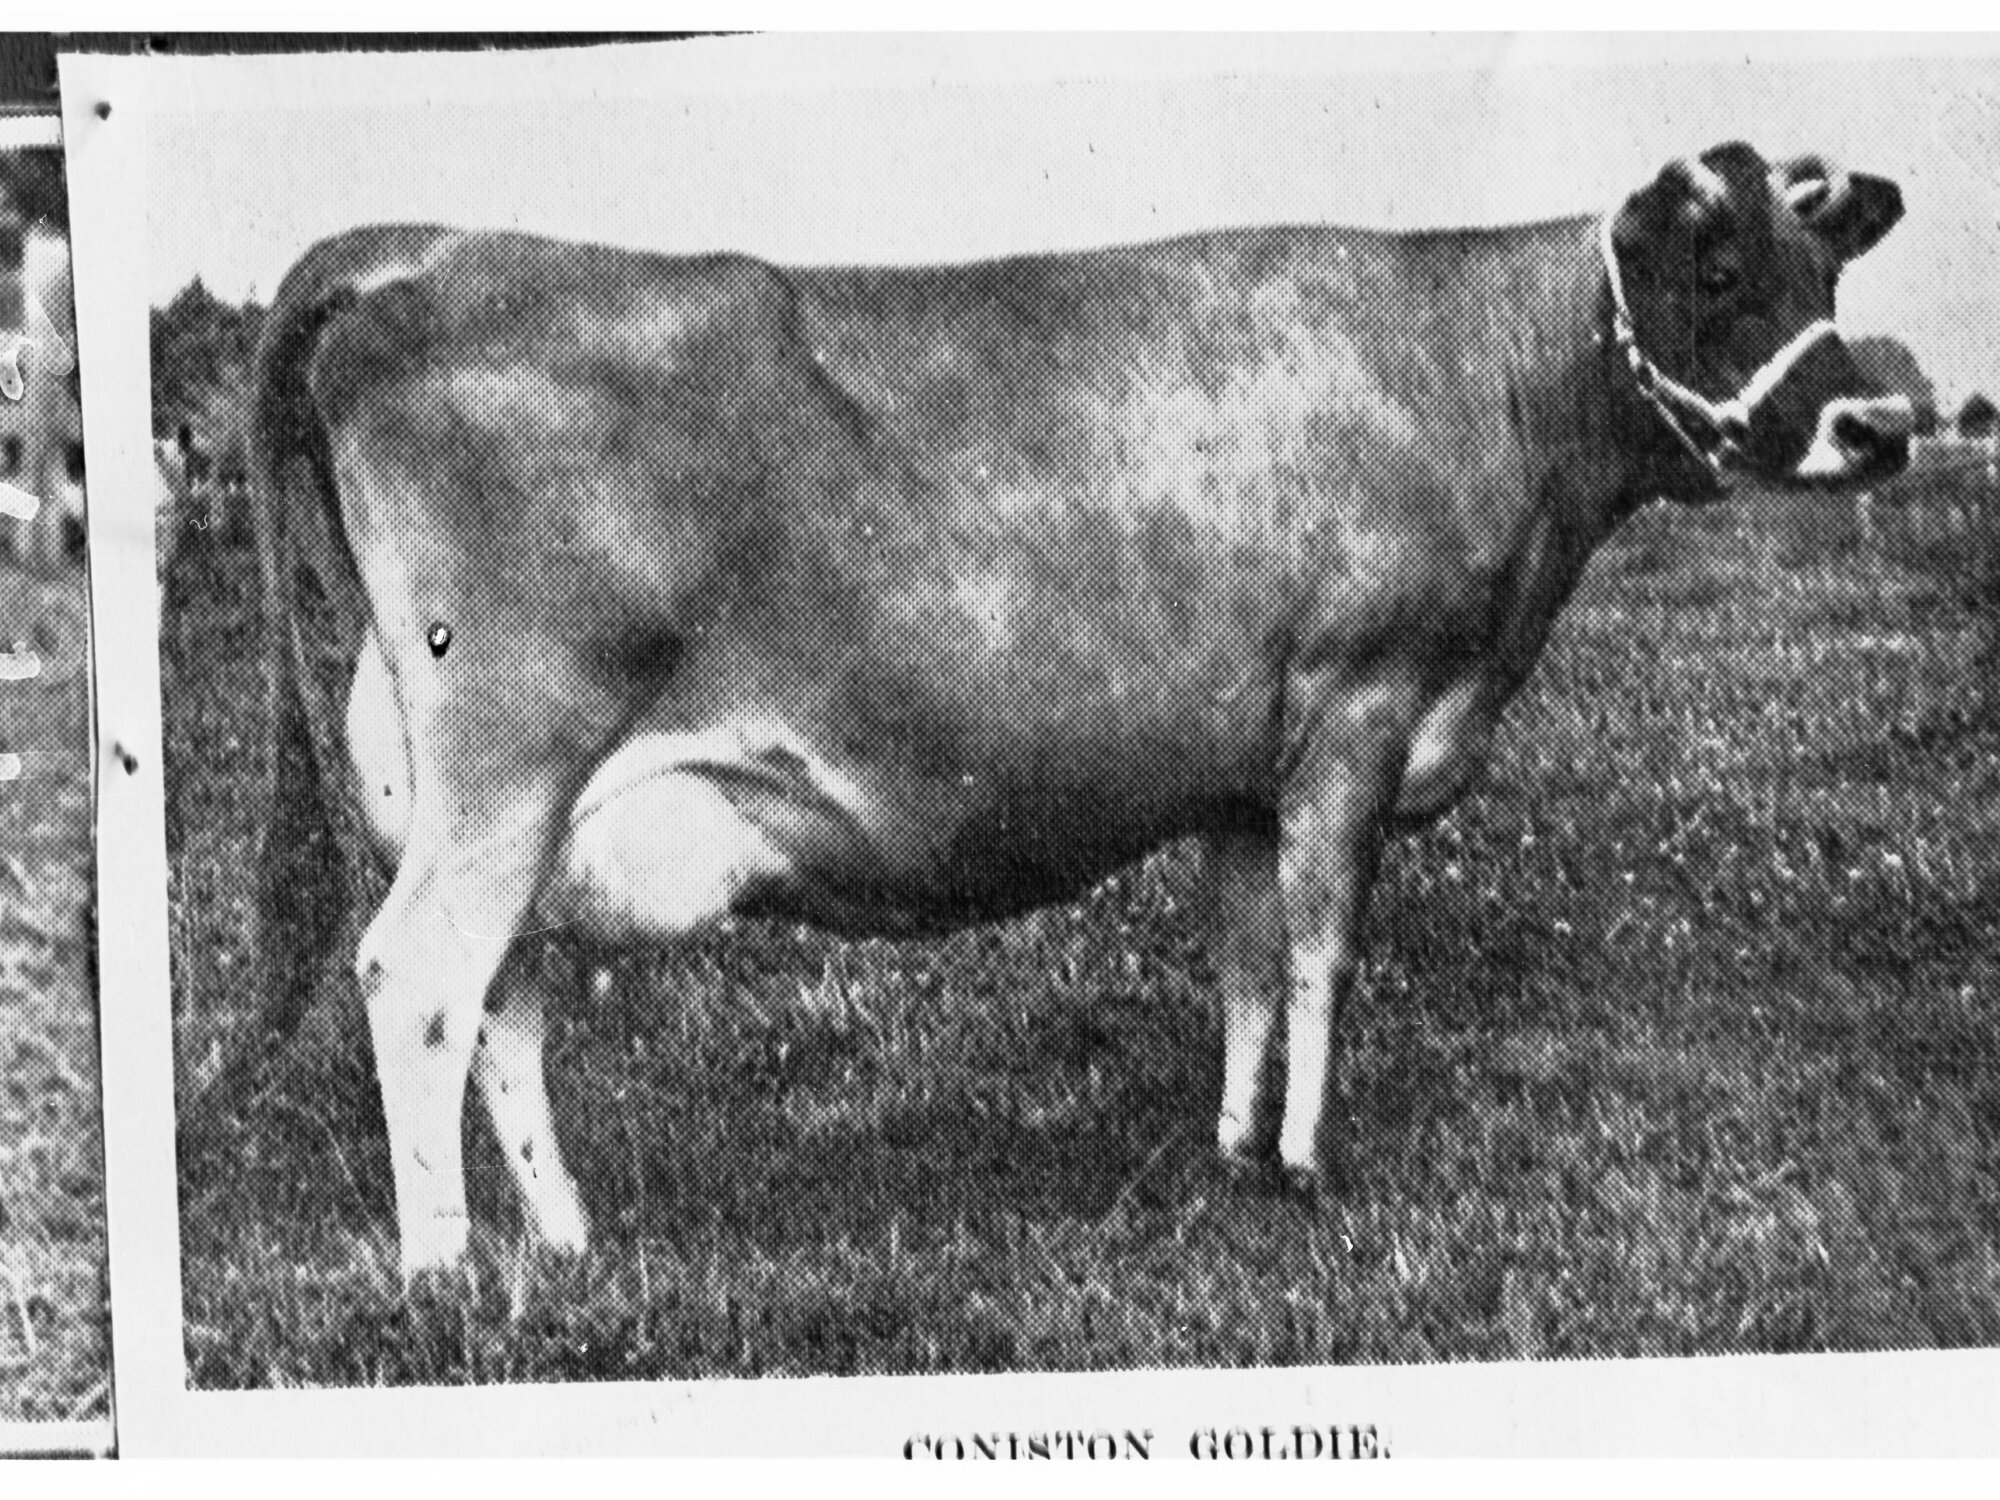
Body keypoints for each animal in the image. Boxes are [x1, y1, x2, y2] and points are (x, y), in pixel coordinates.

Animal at [246, 141, 1913, 1279]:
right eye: (1716, 273)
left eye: (1828, 274)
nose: (1878, 424)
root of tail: (431, 249)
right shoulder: (1360, 710)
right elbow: (1324, 952)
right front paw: (1312, 1165)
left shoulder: (1247, 765)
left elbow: (1245, 960)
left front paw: (1236, 1152)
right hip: (508, 760)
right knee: (416, 974)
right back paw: (445, 1268)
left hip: (485, 794)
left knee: (500, 997)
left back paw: (569, 1243)